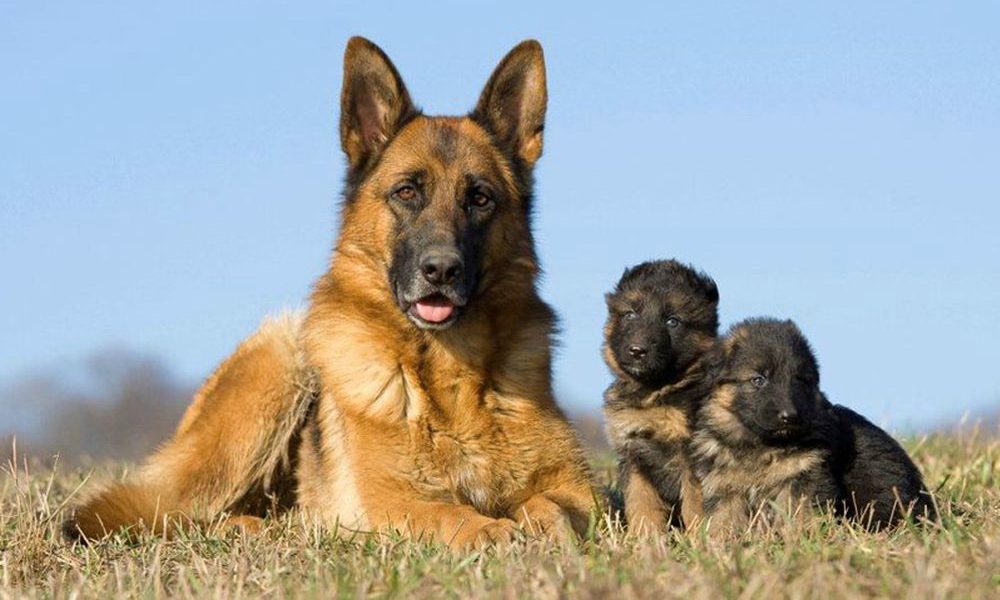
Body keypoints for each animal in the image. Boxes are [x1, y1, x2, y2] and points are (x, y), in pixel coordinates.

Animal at [66, 37, 596, 548]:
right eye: (407, 192)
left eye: (480, 198)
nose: (441, 270)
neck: (450, 376)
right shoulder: (392, 501)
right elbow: (448, 513)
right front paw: (488, 530)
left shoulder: (578, 491)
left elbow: (552, 506)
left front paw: (544, 529)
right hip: (278, 363)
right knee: (183, 514)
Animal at [600, 260, 720, 532]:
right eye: (630, 314)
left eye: (672, 321)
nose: (637, 351)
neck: (654, 392)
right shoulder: (634, 456)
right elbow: (641, 503)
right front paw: (646, 538)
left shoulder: (692, 458)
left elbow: (695, 505)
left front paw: (700, 539)